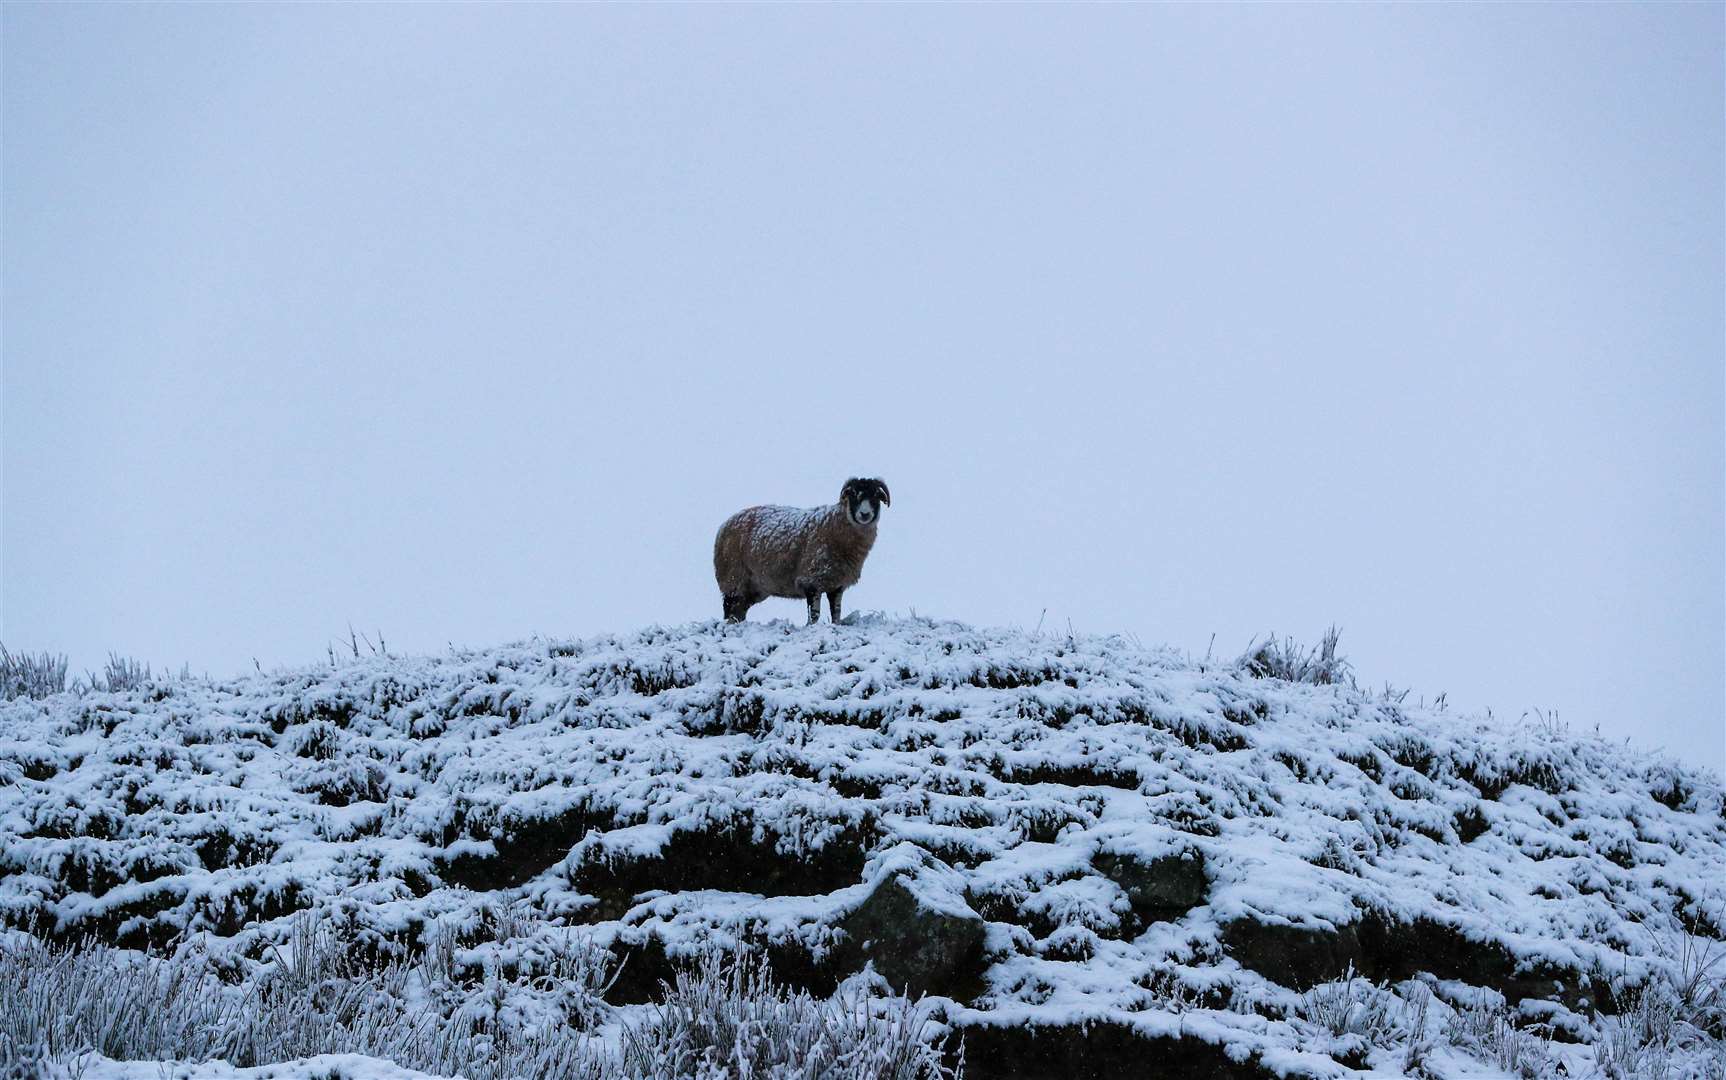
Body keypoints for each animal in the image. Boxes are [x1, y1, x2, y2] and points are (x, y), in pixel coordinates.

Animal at [714, 476, 890, 621]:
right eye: (853, 494)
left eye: (876, 496)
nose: (865, 514)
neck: (835, 524)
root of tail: (725, 524)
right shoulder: (811, 580)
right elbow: (814, 615)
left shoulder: (836, 585)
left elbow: (836, 614)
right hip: (733, 578)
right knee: (728, 609)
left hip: (753, 588)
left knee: (739, 611)